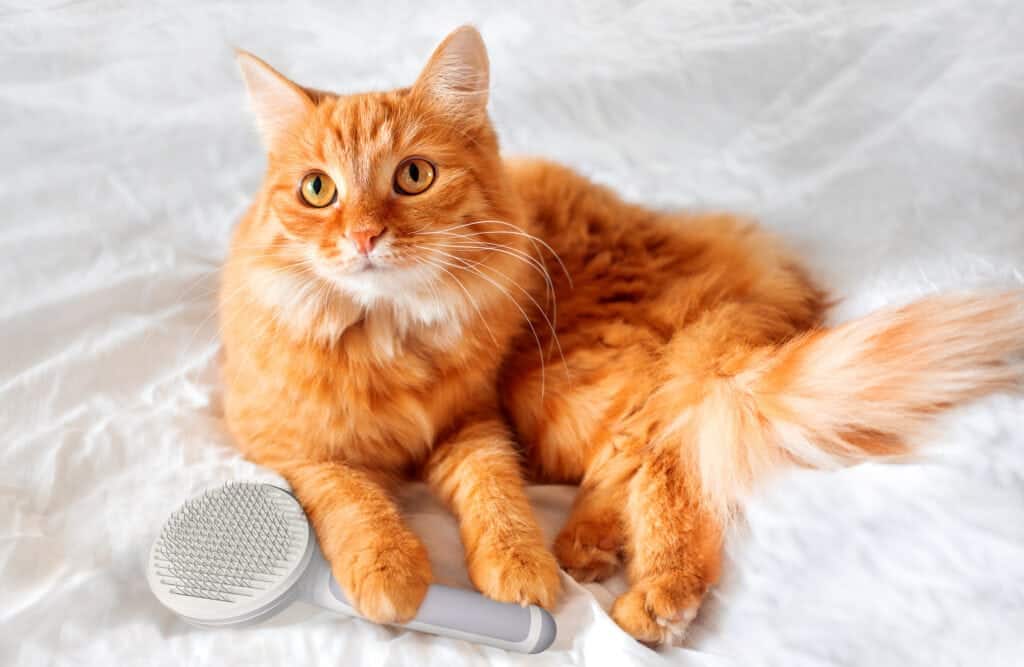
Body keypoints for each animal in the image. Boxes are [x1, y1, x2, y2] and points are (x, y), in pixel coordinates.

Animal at [224, 26, 1024, 647]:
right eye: (318, 190)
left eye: (414, 176)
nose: (364, 236)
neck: (386, 335)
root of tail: (748, 265)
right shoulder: (286, 445)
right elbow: (353, 497)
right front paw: (393, 571)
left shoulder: (475, 420)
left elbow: (496, 497)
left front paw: (519, 573)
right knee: (651, 447)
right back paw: (592, 549)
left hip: (568, 375)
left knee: (670, 449)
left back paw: (651, 596)